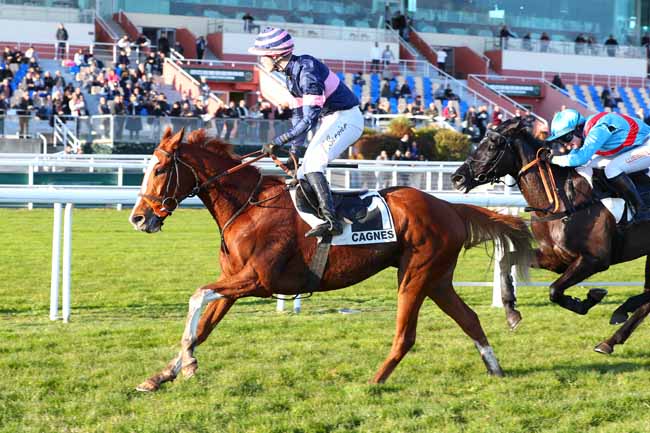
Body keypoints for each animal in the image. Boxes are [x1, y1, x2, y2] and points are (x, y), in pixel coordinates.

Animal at [128, 127, 532, 392]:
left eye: (160, 170)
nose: (139, 218)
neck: (248, 207)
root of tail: (450, 207)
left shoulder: (258, 280)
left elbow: (196, 296)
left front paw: (188, 364)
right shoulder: (233, 284)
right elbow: (203, 327)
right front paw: (163, 374)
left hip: (415, 276)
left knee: (406, 335)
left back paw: (375, 380)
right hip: (437, 278)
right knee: (469, 318)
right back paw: (495, 369)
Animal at [450, 115, 650, 354]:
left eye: (492, 145)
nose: (457, 178)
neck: (559, 201)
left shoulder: (595, 260)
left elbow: (554, 290)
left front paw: (588, 299)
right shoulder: (555, 257)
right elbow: (506, 260)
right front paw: (511, 311)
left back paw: (621, 313)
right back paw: (611, 337)